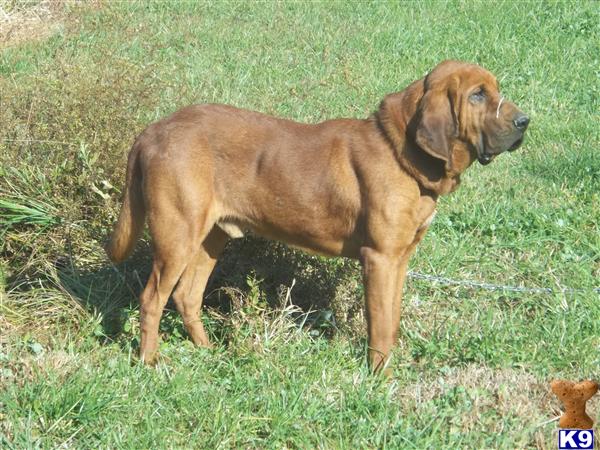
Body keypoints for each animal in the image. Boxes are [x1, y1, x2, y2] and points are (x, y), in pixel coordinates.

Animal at [105, 59, 528, 372]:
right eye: (477, 95)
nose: (525, 121)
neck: (402, 153)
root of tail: (152, 131)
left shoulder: (399, 260)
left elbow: (391, 321)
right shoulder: (380, 259)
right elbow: (379, 327)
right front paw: (380, 378)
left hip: (211, 238)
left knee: (186, 297)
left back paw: (208, 351)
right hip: (176, 237)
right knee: (151, 299)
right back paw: (149, 361)